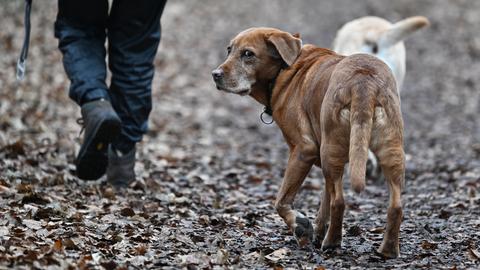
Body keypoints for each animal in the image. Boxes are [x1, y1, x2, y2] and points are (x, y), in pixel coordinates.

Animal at [212, 28, 404, 258]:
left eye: (248, 54)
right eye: (229, 50)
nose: (215, 74)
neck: (284, 70)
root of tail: (363, 82)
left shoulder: (303, 151)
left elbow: (282, 201)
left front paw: (301, 226)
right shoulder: (328, 164)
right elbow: (324, 202)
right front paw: (318, 231)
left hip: (333, 152)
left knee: (340, 202)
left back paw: (332, 243)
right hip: (389, 152)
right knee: (395, 206)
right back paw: (388, 249)